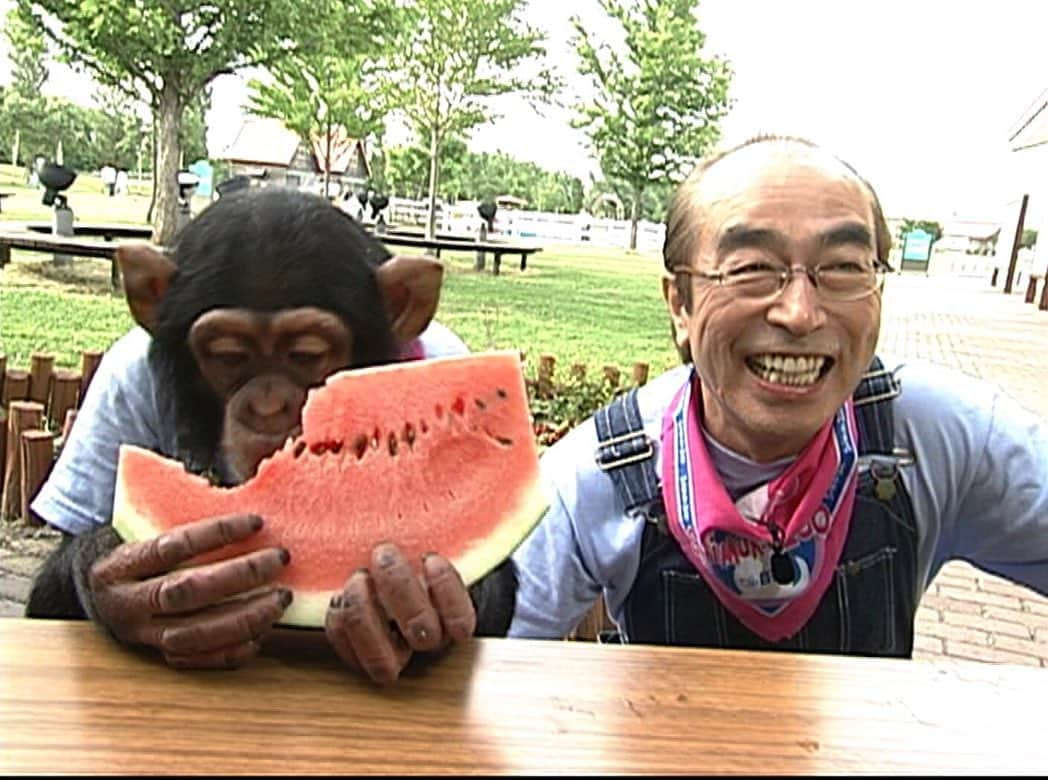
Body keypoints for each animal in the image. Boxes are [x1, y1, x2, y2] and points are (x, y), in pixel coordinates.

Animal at [24, 188, 515, 683]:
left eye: (307, 354)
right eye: (228, 356)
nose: (267, 407)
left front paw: (417, 599)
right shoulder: (115, 388)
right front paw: (127, 573)